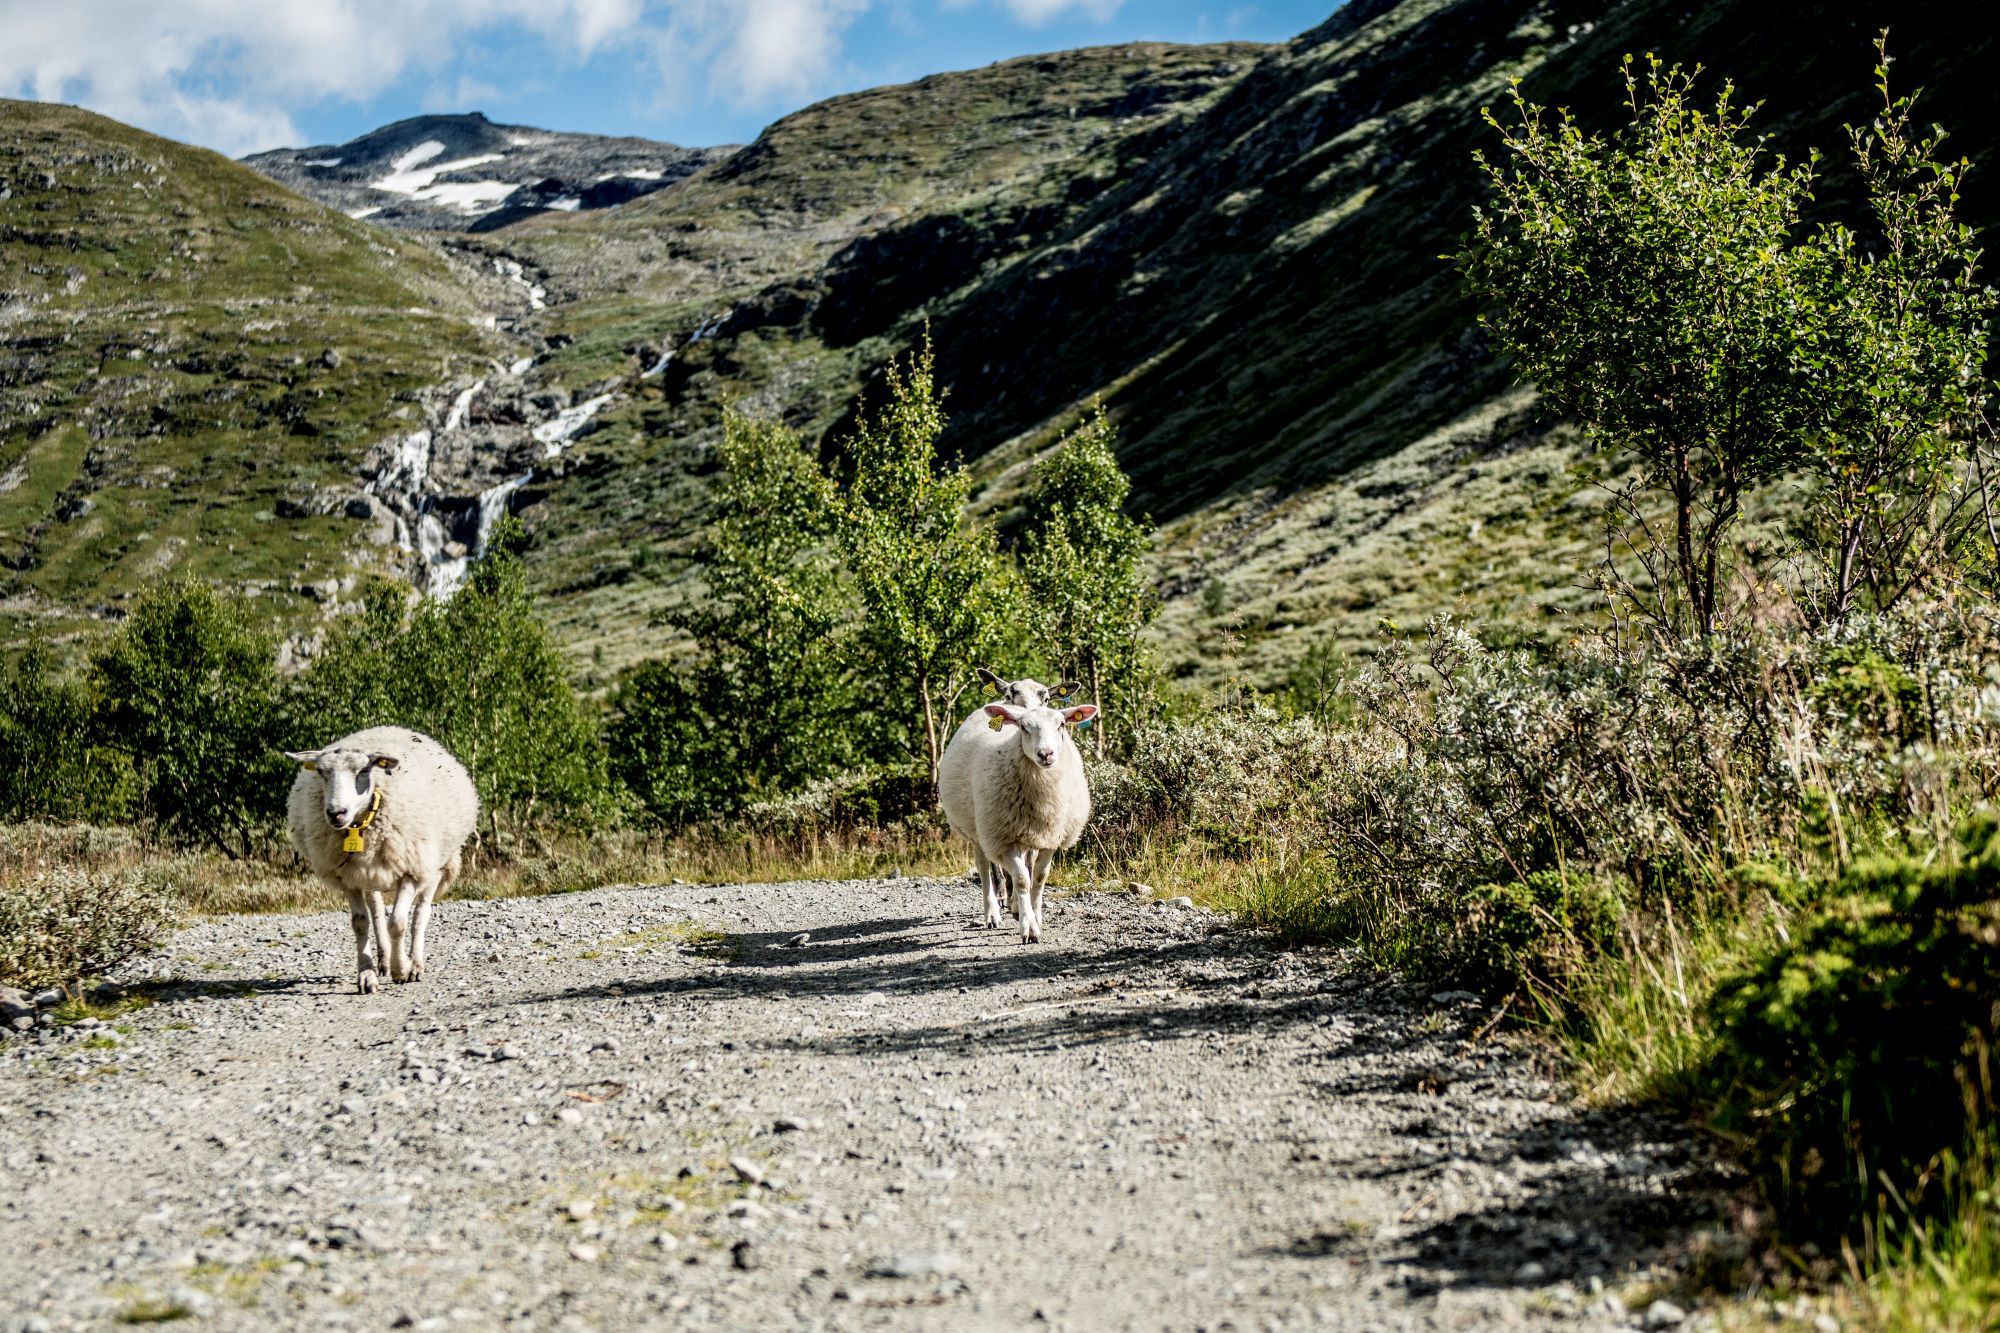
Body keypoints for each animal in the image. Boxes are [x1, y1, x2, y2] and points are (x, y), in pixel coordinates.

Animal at [284, 728, 478, 984]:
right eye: (321, 772)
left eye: (364, 771)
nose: (336, 813)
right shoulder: (349, 878)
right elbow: (360, 923)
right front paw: (367, 975)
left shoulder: (411, 869)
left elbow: (398, 922)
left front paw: (401, 969)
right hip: (369, 872)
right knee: (376, 913)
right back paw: (384, 961)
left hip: (434, 866)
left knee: (421, 913)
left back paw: (415, 964)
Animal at [932, 700, 1096, 940]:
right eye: (1024, 728)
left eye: (1062, 724)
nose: (1045, 754)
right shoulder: (1006, 838)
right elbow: (1021, 880)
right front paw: (1029, 927)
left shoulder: (1051, 837)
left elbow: (1039, 877)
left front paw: (1034, 915)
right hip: (980, 831)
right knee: (984, 869)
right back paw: (992, 913)